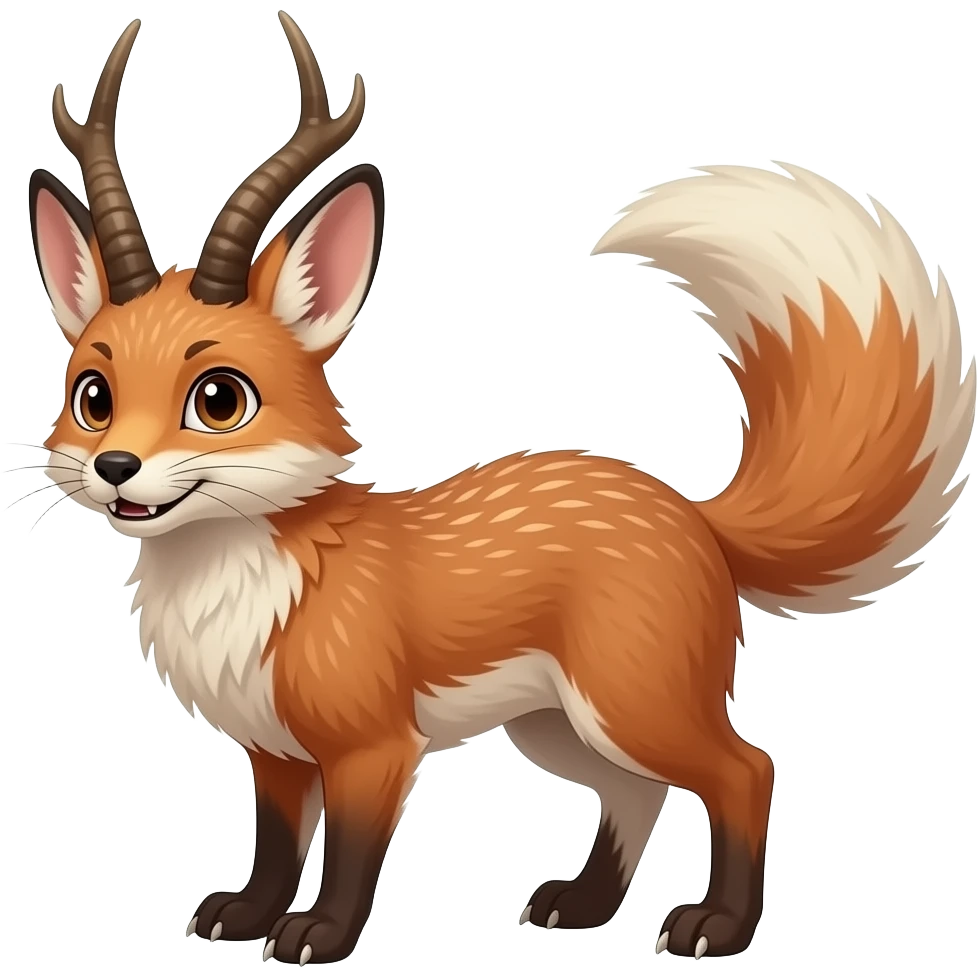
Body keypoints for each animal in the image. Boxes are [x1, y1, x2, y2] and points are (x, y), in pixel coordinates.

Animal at [22, 11, 977, 968]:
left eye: (218, 399)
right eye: (94, 398)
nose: (116, 468)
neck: (254, 589)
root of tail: (689, 511)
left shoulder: (375, 747)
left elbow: (350, 853)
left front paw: (321, 935)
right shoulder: (275, 753)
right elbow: (277, 844)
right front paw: (250, 916)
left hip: (631, 708)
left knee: (747, 771)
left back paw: (719, 926)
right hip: (558, 728)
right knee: (637, 795)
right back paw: (586, 904)